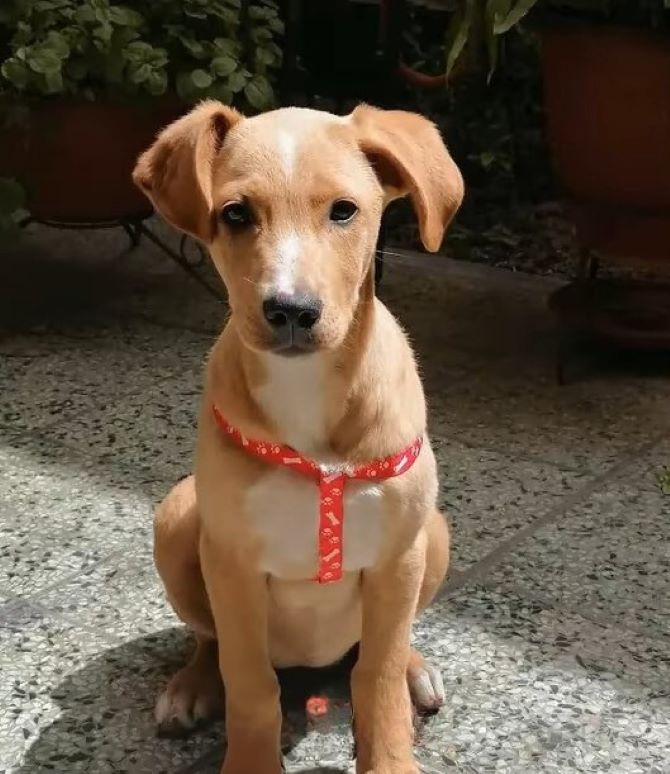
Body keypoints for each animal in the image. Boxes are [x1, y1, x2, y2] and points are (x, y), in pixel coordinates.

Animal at [134, 103, 464, 774]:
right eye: (236, 214)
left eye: (344, 210)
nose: (291, 310)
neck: (308, 392)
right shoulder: (231, 563)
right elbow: (249, 681)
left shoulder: (398, 558)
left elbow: (378, 675)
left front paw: (390, 752)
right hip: (178, 518)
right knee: (210, 642)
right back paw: (191, 687)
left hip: (432, 534)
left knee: (380, 650)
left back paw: (417, 670)